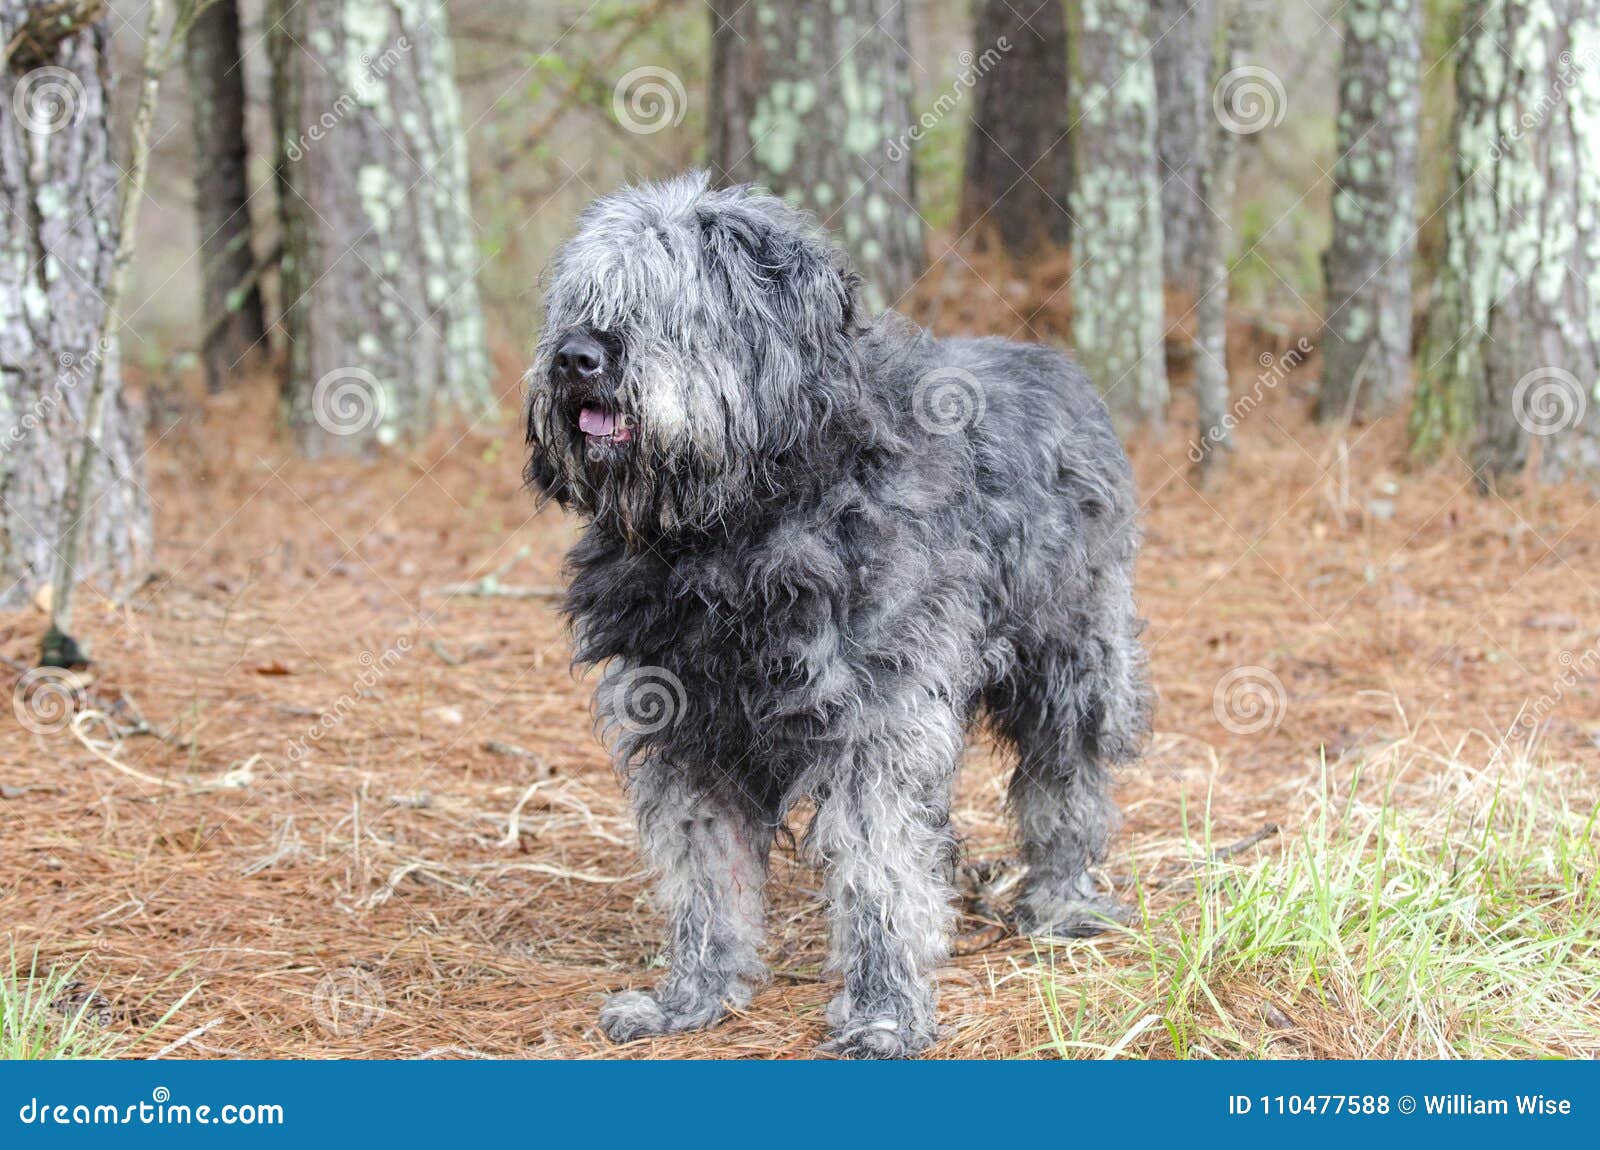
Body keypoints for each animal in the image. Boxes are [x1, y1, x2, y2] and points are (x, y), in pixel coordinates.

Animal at [528, 173, 1152, 1062]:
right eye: (583, 300)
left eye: (665, 302)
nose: (576, 357)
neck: (735, 526)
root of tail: (1055, 363)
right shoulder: (685, 729)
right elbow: (704, 872)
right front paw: (695, 995)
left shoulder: (876, 725)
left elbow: (880, 870)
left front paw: (885, 1012)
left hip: (1071, 660)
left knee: (1066, 781)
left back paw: (1062, 901)